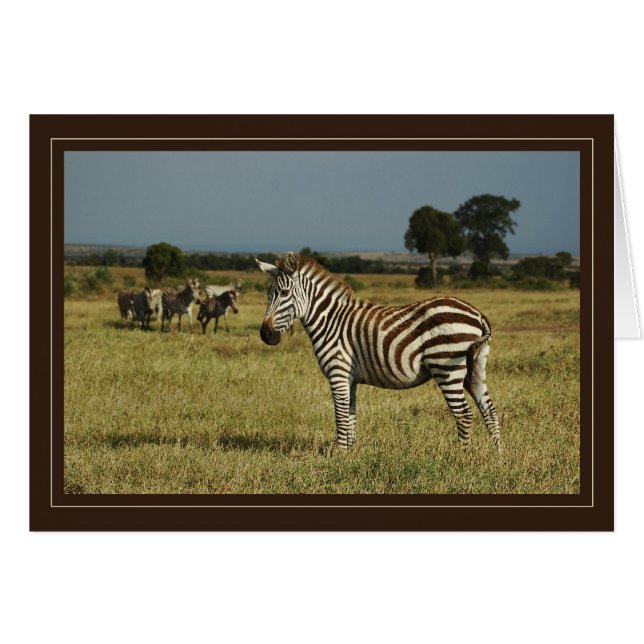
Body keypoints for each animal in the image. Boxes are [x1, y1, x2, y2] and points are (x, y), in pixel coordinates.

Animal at [257, 252, 500, 451]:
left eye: (284, 292)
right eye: (268, 293)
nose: (266, 335)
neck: (330, 321)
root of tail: (477, 314)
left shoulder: (338, 373)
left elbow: (340, 416)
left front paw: (339, 456)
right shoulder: (350, 378)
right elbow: (351, 416)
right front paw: (350, 454)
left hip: (446, 367)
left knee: (464, 415)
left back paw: (461, 457)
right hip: (474, 369)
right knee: (490, 411)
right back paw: (496, 457)